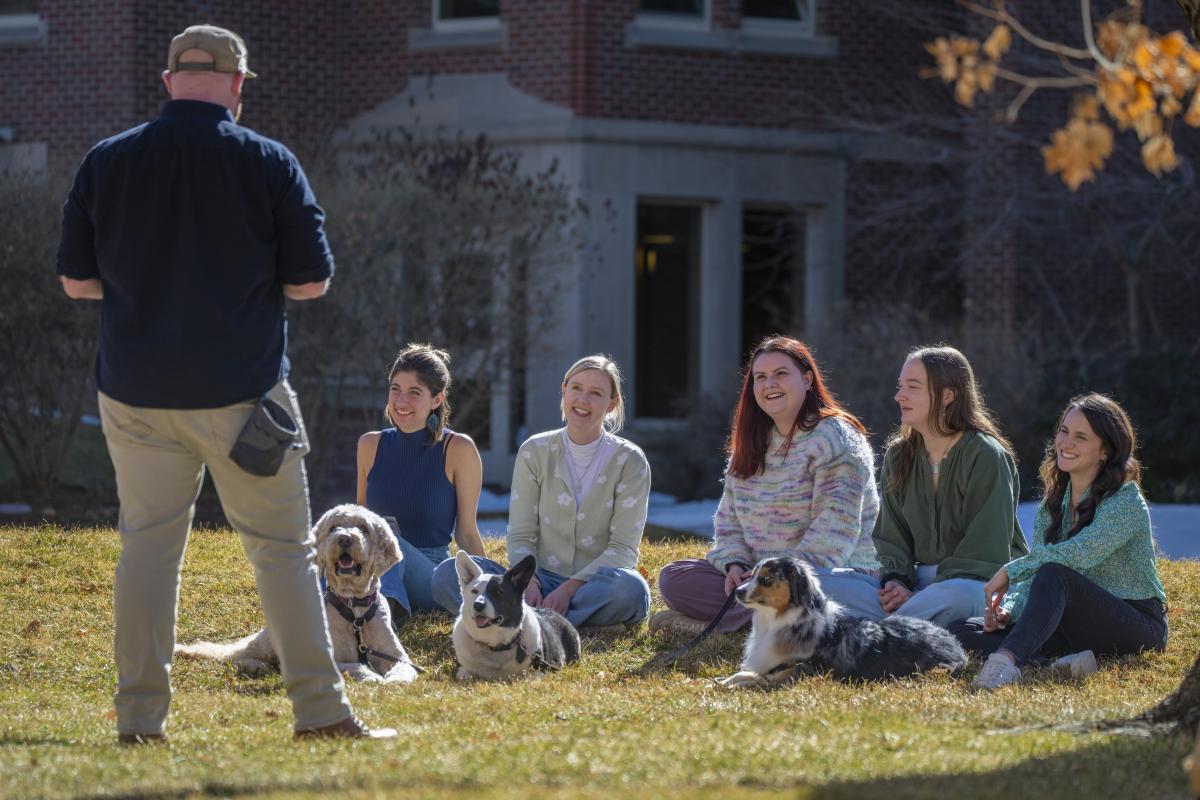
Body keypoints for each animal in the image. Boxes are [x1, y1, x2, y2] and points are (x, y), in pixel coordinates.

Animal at [175, 506, 420, 681]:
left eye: (363, 528)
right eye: (333, 528)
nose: (344, 538)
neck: (354, 610)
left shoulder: (396, 656)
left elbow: (404, 670)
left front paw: (395, 681)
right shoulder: (328, 659)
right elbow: (355, 665)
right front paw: (371, 676)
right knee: (233, 656)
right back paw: (254, 666)